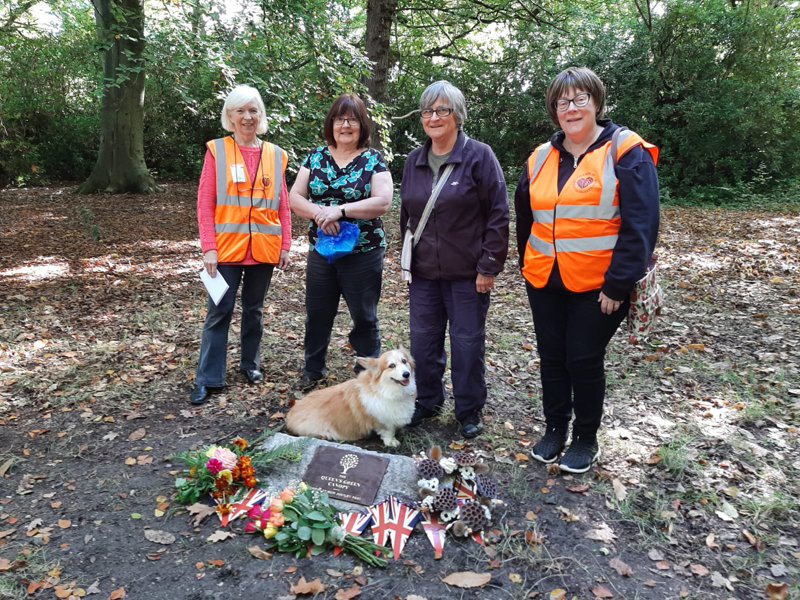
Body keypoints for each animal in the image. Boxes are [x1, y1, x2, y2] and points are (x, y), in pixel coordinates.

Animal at [284, 346, 416, 446]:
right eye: (391, 365)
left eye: (404, 361)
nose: (406, 374)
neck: (384, 389)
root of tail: (289, 415)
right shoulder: (382, 420)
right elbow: (388, 431)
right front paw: (392, 441)